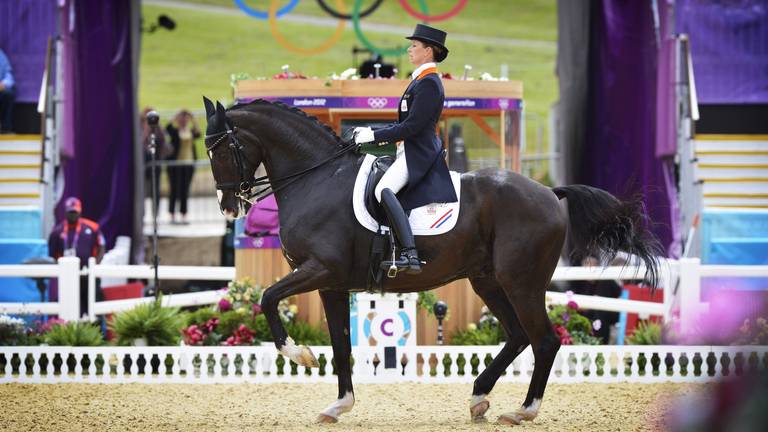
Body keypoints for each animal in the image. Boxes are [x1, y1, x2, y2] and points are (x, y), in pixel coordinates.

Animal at [202, 98, 660, 426]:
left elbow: (268, 298)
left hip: (521, 282)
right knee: (517, 336)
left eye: (221, 149)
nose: (228, 206)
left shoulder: (319, 270)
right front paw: (339, 405)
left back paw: (523, 410)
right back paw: (479, 398)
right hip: (487, 281)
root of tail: (550, 192)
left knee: (544, 340)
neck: (317, 178)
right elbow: (341, 345)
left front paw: (299, 355)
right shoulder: (330, 283)